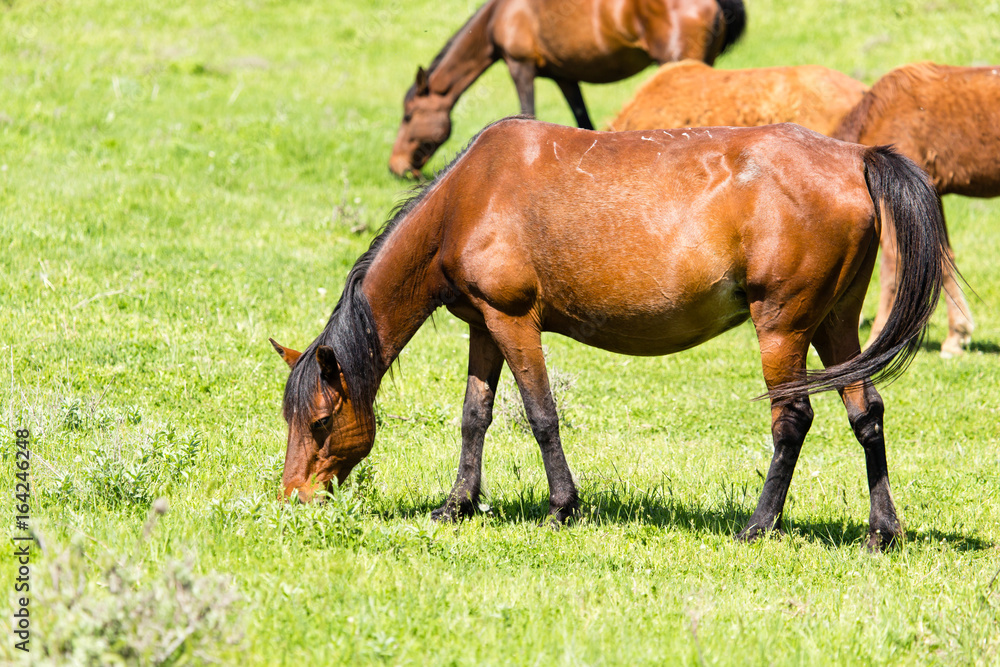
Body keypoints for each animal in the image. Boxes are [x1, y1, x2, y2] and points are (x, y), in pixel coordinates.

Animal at [274, 118, 949, 551]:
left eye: (321, 423)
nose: (293, 498)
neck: (468, 198)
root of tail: (855, 157)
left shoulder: (514, 321)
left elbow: (541, 414)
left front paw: (562, 508)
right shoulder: (484, 328)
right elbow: (475, 417)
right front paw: (456, 504)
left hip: (782, 327)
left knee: (792, 420)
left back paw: (758, 525)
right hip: (835, 324)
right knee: (867, 412)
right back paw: (881, 532)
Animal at [388, 0, 746, 178]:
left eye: (407, 117)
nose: (396, 166)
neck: (500, 16)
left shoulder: (520, 66)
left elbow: (528, 111)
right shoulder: (565, 77)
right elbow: (583, 121)